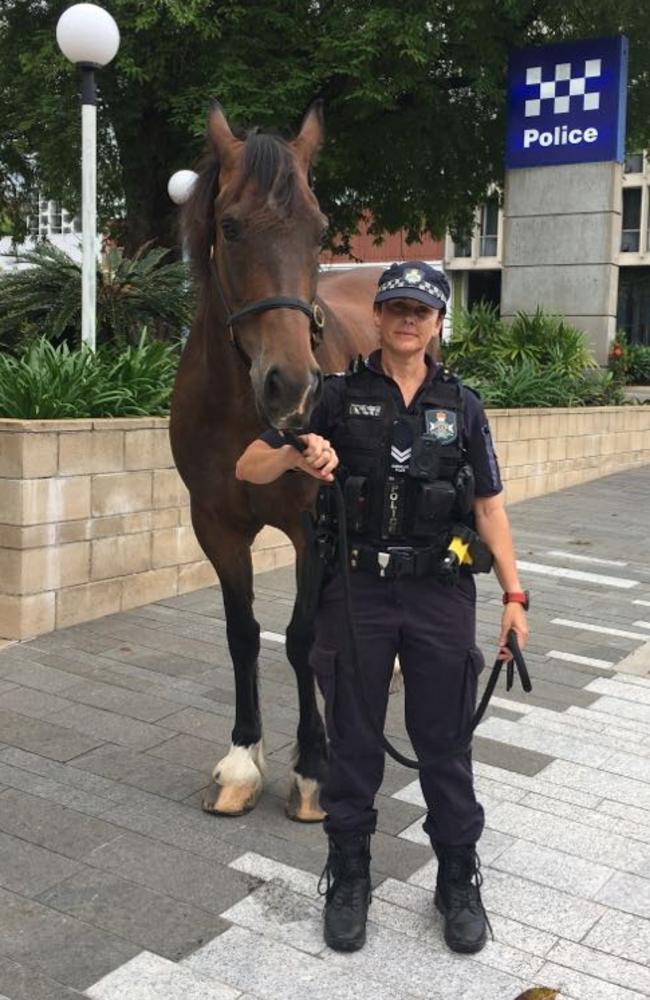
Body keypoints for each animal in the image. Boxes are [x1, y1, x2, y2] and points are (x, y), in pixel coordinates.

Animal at [171, 99, 380, 820]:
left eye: (318, 230)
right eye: (230, 226)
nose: (291, 387)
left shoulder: (310, 526)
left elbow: (299, 637)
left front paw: (313, 769)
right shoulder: (215, 526)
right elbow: (243, 632)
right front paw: (243, 759)